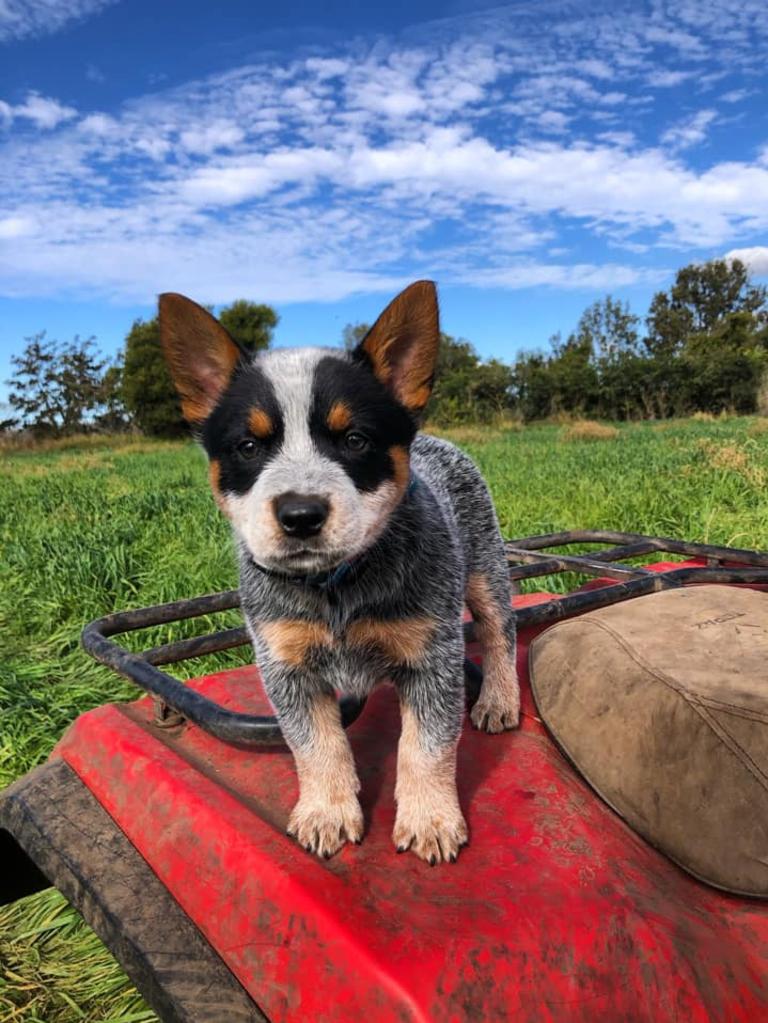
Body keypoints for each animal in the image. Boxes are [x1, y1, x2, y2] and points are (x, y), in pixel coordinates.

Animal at [162, 284, 523, 867]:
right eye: (248, 446)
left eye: (354, 439)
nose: (300, 514)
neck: (336, 588)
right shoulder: (286, 665)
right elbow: (315, 744)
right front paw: (327, 811)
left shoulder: (431, 656)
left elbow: (426, 746)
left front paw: (429, 817)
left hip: (485, 566)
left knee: (498, 631)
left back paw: (498, 698)